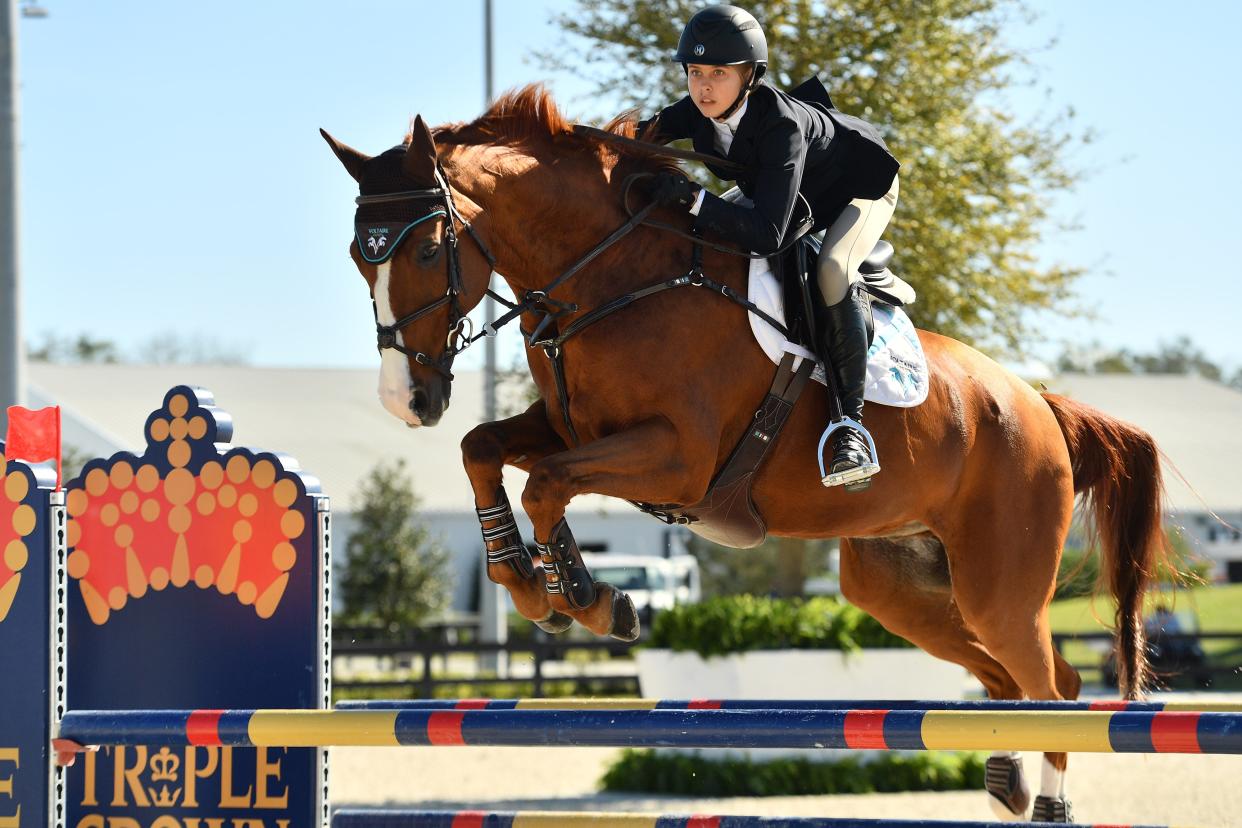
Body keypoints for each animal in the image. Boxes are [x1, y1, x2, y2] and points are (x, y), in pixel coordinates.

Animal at [325, 87, 1167, 819]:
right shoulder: (573, 431)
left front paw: (588, 600)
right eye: (360, 258)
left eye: (428, 251)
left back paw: (1048, 802)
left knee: (1053, 684)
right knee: (1009, 677)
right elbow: (485, 449)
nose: (406, 400)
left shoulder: (678, 459)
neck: (611, 276)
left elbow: (545, 486)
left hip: (1000, 583)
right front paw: (530, 583)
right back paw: (1005, 781)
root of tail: (1039, 405)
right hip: (899, 588)